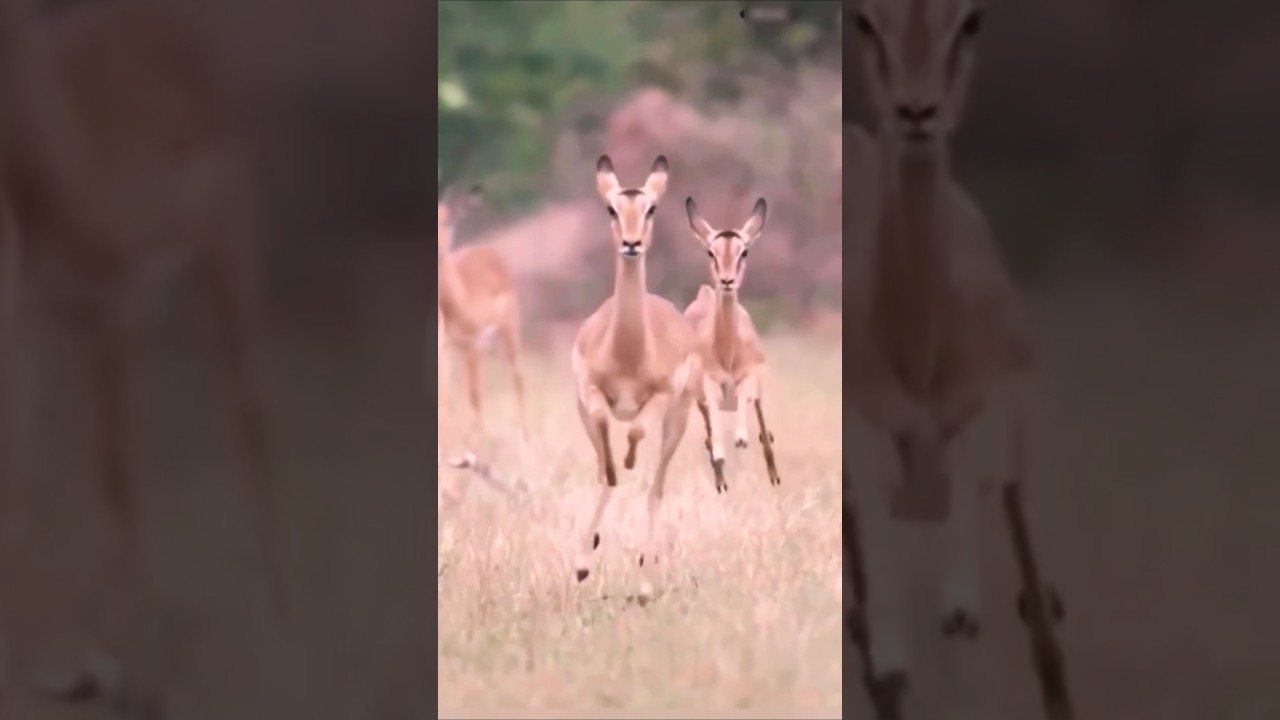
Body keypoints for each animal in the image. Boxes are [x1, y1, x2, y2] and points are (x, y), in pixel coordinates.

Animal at [0, 0, 280, 710]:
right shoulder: (35, 325)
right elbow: (28, 479)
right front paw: (73, 667)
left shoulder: (111, 313)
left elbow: (116, 477)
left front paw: (139, 674)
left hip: (226, 256)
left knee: (249, 407)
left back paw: (271, 595)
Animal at [437, 185, 528, 448]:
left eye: (448, 220)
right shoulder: (447, 348)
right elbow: (447, 398)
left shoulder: (472, 345)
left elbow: (474, 397)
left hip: (509, 331)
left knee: (517, 378)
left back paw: (525, 438)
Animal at [570, 155, 704, 600]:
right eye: (611, 208)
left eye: (651, 208)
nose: (631, 244)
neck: (628, 352)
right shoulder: (589, 395)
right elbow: (606, 466)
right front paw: (582, 563)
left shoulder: (661, 398)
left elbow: (635, 434)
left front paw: (628, 459)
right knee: (605, 470)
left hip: (679, 418)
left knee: (656, 486)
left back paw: (646, 581)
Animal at [682, 195, 781, 493]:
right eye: (710, 252)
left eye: (743, 252)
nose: (727, 281)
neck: (727, 355)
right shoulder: (708, 386)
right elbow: (714, 420)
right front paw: (720, 452)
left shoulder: (750, 377)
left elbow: (745, 398)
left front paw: (740, 437)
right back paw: (721, 477)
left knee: (763, 430)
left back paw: (773, 473)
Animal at [842, 1, 1073, 718]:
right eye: (863, 20)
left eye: (972, 19)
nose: (918, 111)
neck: (918, 350)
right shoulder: (860, 432)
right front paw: (895, 649)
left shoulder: (994, 406)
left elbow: (972, 468)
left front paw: (961, 605)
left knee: (1043, 629)